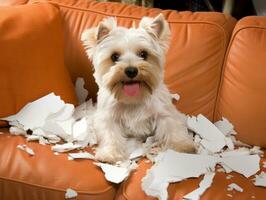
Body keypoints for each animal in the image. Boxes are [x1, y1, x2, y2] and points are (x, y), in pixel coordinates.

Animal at [81, 13, 195, 162]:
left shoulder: (164, 113)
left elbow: (172, 127)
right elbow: (110, 135)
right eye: (114, 56)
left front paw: (181, 146)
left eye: (143, 54)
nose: (131, 71)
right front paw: (110, 153)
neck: (133, 98)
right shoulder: (108, 118)